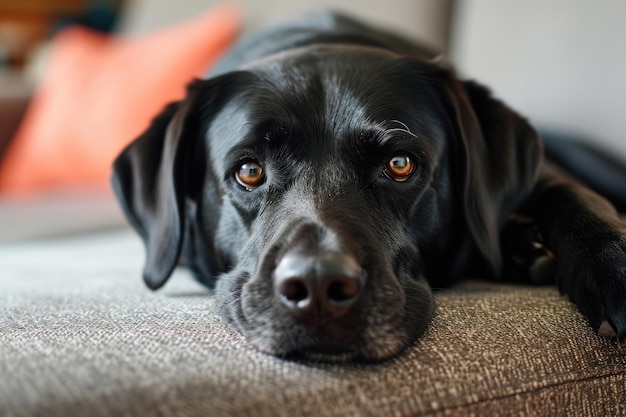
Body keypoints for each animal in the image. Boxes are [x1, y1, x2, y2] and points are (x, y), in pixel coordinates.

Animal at [112, 11, 624, 360]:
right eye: (249, 171)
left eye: (399, 164)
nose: (318, 286)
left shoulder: (554, 177)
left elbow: (571, 195)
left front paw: (611, 264)